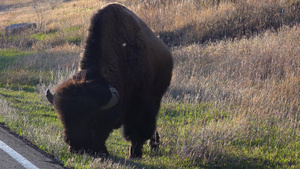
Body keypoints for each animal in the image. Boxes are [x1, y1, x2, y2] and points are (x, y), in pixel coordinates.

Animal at [45, 2, 172, 158]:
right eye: (63, 119)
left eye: (94, 120)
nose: (76, 147)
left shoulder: (140, 105)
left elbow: (136, 131)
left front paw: (134, 154)